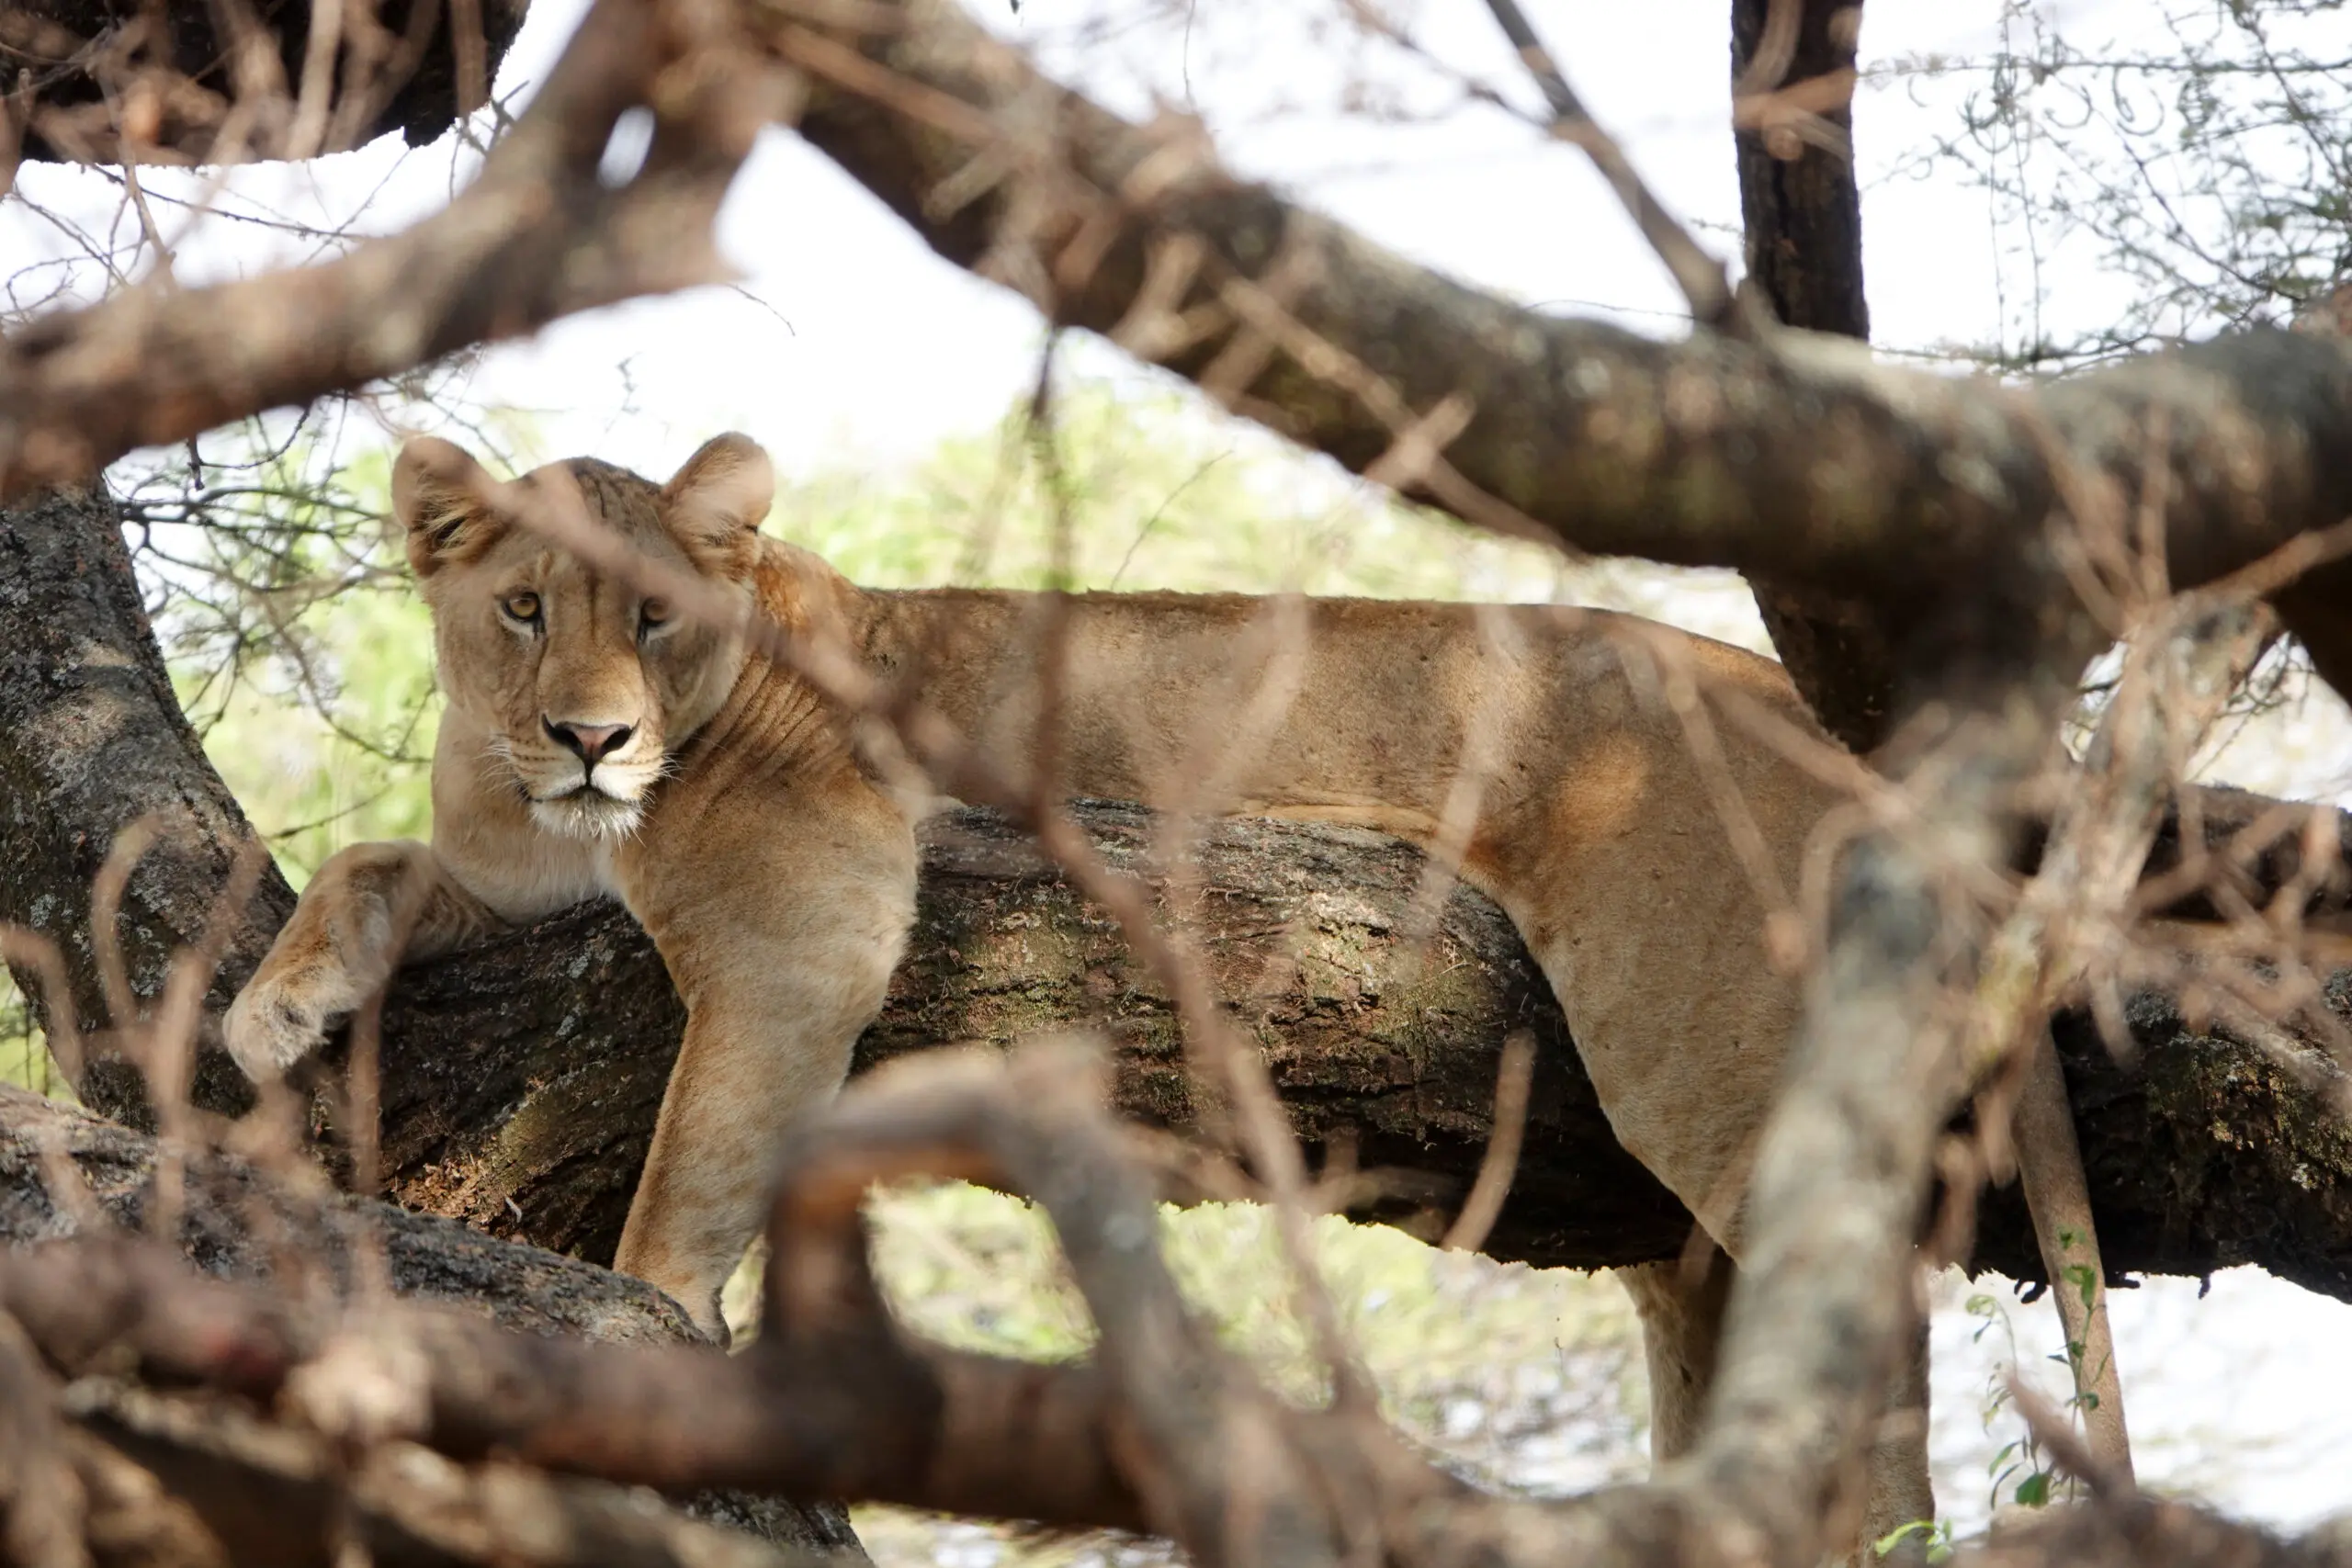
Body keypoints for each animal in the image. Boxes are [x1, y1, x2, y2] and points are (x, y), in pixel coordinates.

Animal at [224, 432, 2128, 1556]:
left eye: (653, 618)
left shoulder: (801, 915)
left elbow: (692, 1165)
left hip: (1705, 1027)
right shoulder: (516, 866)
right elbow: (375, 859)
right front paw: (275, 1004)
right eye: (523, 607)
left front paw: (651, 1356)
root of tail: (1797, 702)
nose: (590, 734)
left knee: (1859, 1302)